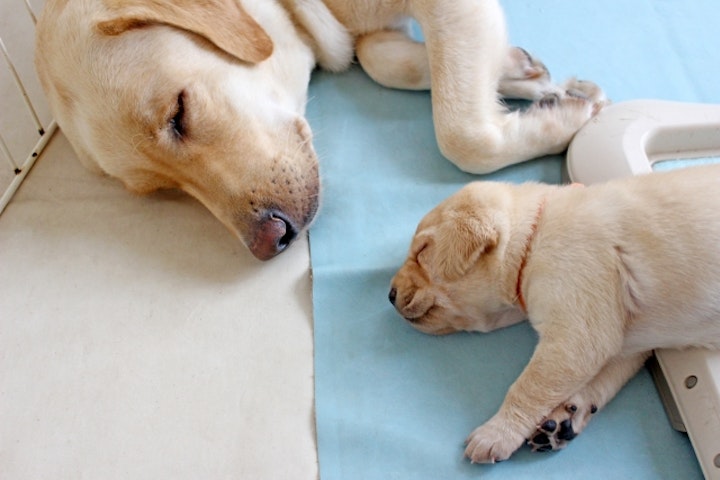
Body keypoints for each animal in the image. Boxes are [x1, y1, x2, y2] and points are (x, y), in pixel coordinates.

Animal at [35, 0, 608, 260]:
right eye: (164, 190)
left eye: (178, 114)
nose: (271, 241)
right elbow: (388, 63)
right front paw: (524, 76)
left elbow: (462, 135)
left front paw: (564, 117)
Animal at [390, 164, 720, 462]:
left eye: (422, 251)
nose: (390, 295)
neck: (532, 238)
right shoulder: (628, 341)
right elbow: (604, 376)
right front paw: (565, 418)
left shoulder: (577, 325)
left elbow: (529, 386)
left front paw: (496, 434)